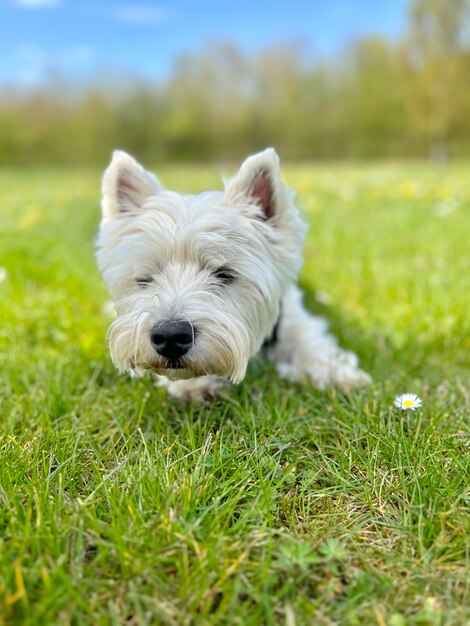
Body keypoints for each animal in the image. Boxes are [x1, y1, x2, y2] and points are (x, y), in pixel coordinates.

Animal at [96, 147, 370, 400]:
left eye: (224, 274)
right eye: (145, 278)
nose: (171, 337)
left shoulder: (295, 319)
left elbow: (310, 342)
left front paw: (336, 375)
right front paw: (194, 386)